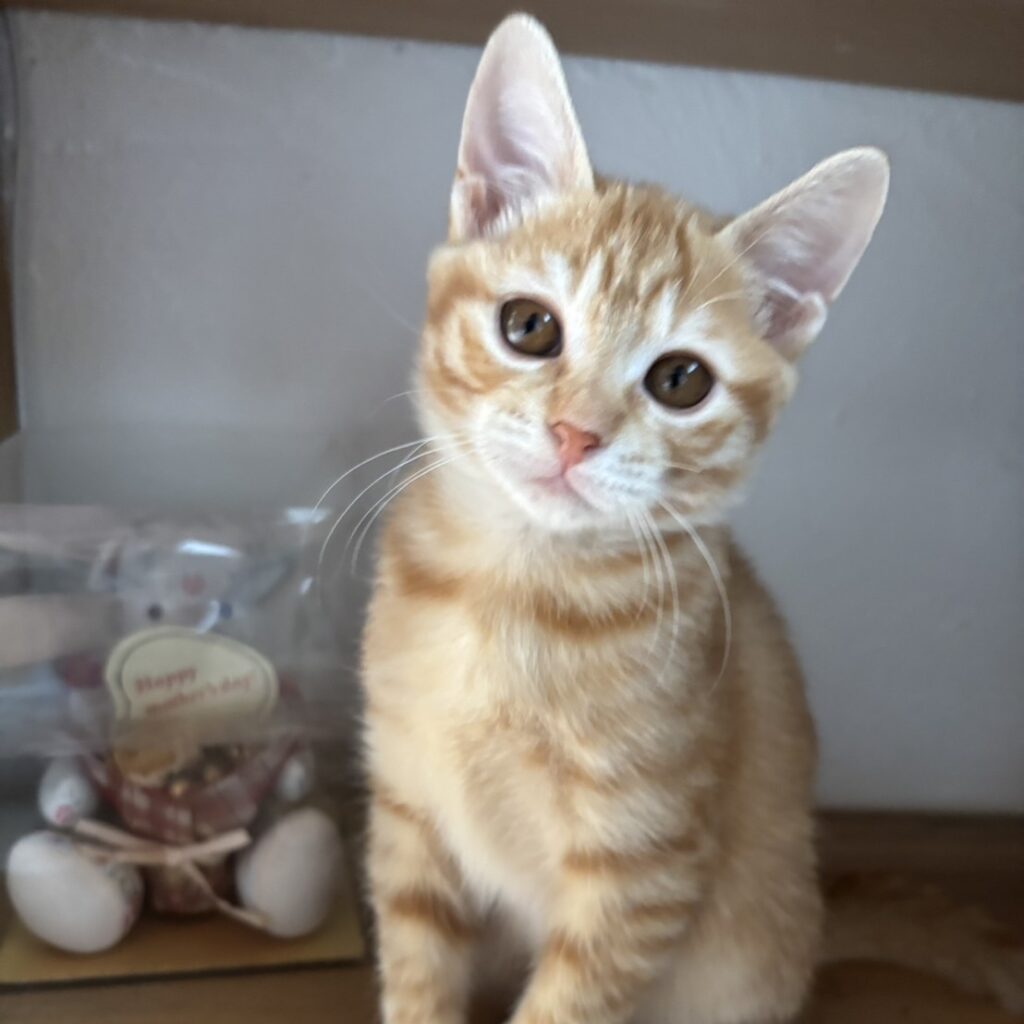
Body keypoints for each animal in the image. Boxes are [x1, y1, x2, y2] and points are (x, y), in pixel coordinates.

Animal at [360, 14, 1022, 1024]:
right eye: (528, 327)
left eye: (681, 380)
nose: (576, 433)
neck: (517, 590)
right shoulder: (407, 816)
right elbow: (417, 976)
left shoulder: (641, 871)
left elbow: (566, 1004)